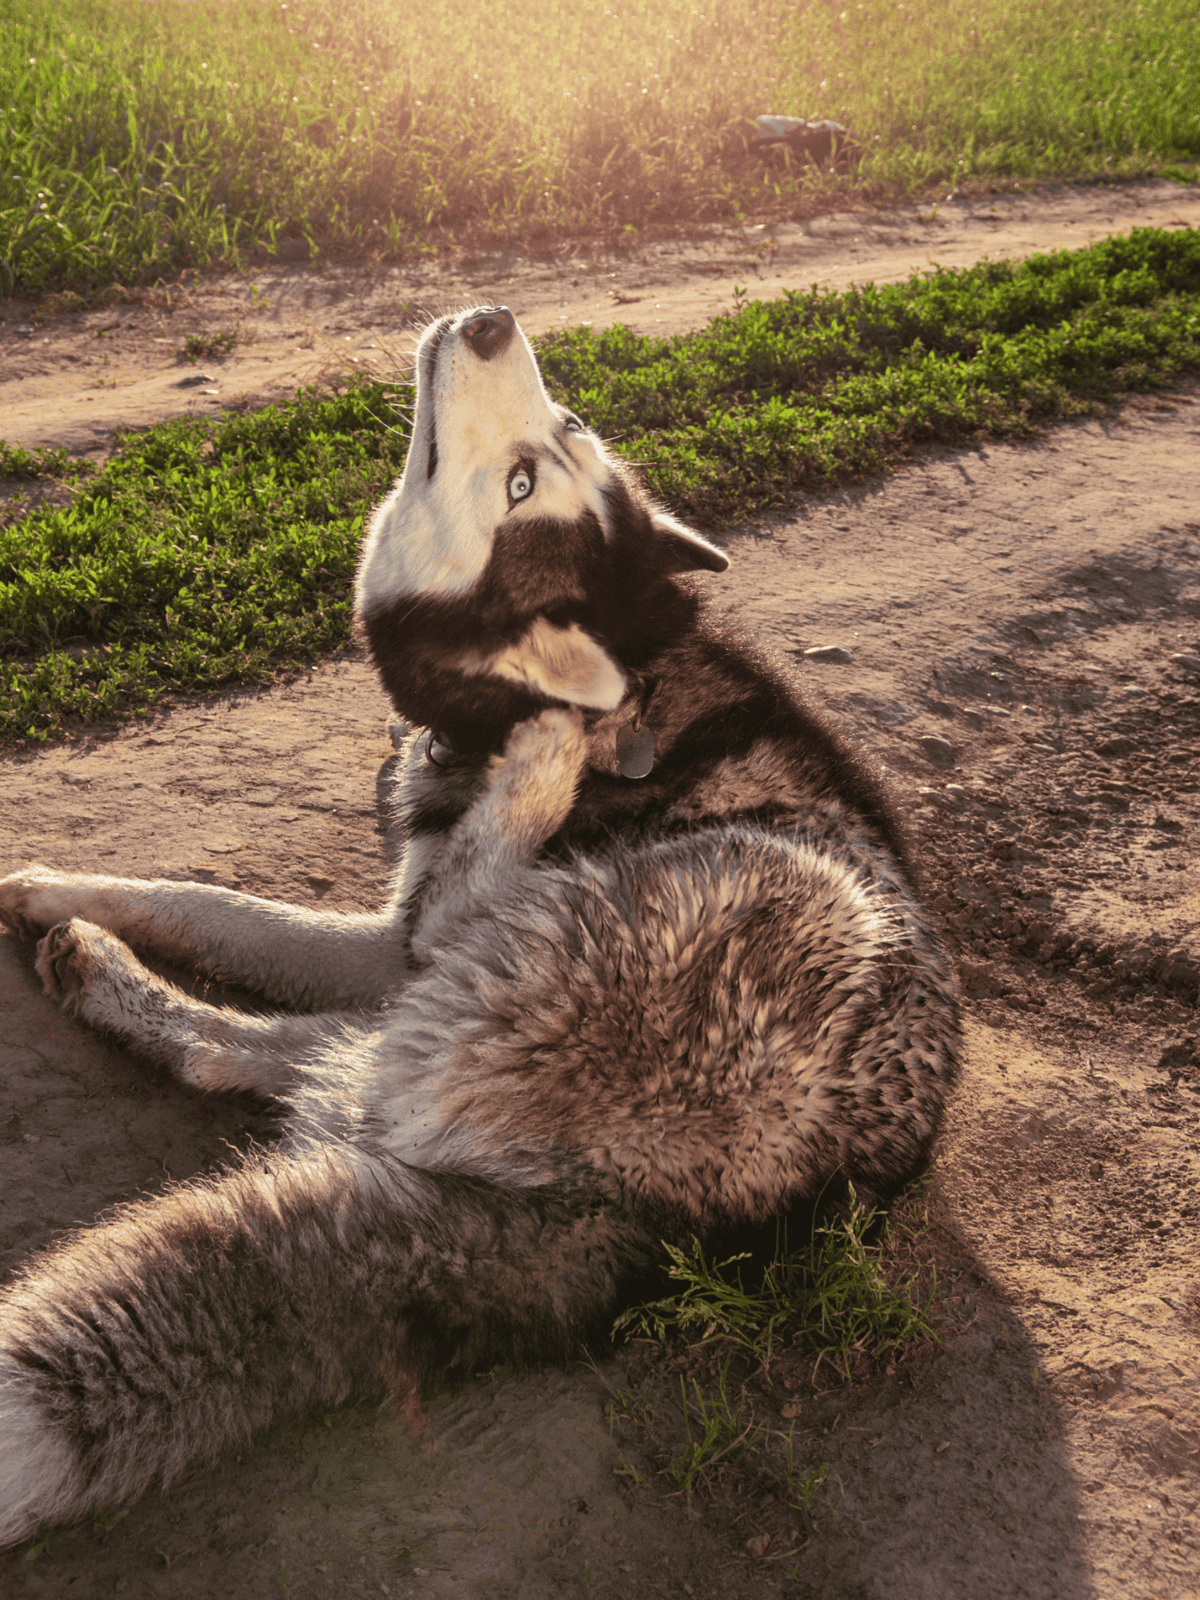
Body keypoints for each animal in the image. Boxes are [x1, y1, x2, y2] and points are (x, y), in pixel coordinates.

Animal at [0, 305, 959, 1548]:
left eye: (517, 485)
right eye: (565, 431)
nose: (496, 322)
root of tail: (663, 1225)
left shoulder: (401, 936)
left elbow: (221, 902)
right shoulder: (385, 936)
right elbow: (212, 904)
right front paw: (53, 888)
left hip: (688, 925)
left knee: (308, 1039)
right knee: (278, 1055)